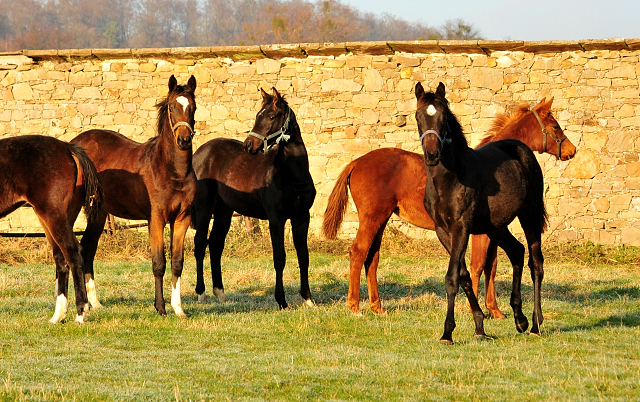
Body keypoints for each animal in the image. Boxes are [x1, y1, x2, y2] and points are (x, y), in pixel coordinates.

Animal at [0, 137, 102, 326]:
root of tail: (67, 148)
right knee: (62, 259)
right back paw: (58, 315)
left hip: (52, 215)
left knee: (73, 254)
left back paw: (80, 313)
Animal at [70, 74, 198, 316]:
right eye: (172, 107)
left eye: (193, 107)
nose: (184, 140)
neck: (173, 171)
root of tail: (73, 145)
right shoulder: (156, 219)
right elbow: (159, 263)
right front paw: (160, 308)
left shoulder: (182, 219)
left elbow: (177, 262)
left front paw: (179, 309)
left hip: (99, 212)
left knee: (87, 248)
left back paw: (94, 303)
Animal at [192, 87, 318, 308]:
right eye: (258, 115)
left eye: (271, 116)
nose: (248, 145)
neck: (292, 174)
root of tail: (199, 153)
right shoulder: (276, 218)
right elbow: (279, 257)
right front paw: (282, 301)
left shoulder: (302, 217)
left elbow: (303, 256)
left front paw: (308, 299)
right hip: (204, 207)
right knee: (200, 244)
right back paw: (201, 293)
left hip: (224, 210)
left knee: (215, 245)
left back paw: (220, 293)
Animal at [322, 95, 576, 318]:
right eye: (555, 126)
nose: (572, 151)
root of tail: (357, 162)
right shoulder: (480, 233)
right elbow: (477, 265)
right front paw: (474, 308)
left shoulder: (490, 230)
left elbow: (491, 265)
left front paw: (494, 310)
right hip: (372, 218)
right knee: (358, 252)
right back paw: (354, 306)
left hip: (381, 219)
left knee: (372, 257)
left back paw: (377, 307)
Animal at [418, 82, 548, 346]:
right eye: (418, 116)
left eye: (443, 117)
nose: (432, 155)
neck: (450, 179)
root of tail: (523, 150)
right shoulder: (443, 231)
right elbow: (464, 275)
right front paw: (479, 326)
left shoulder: (461, 229)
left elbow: (452, 278)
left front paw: (447, 333)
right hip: (494, 226)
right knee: (517, 251)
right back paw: (520, 319)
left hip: (529, 215)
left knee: (536, 263)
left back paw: (535, 324)